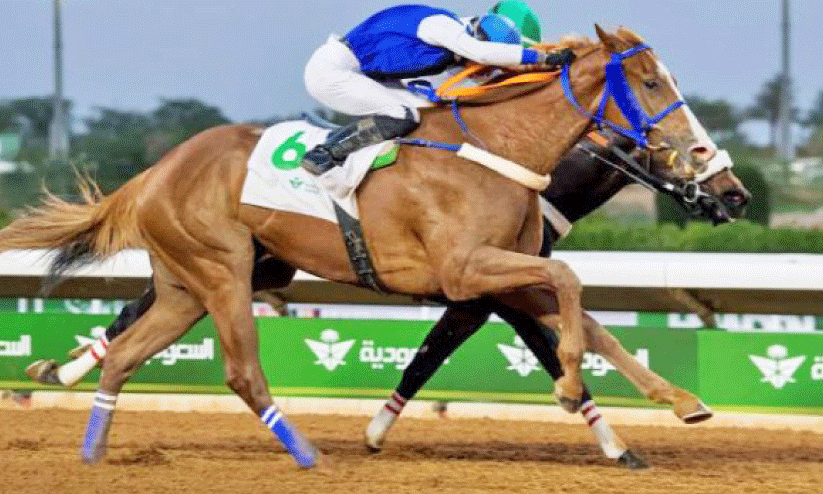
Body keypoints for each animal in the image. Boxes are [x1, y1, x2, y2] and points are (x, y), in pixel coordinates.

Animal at [0, 26, 719, 466]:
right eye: (651, 83)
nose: (707, 160)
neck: (497, 152)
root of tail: (156, 170)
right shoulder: (467, 273)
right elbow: (568, 285)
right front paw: (570, 388)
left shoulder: (510, 276)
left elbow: (592, 322)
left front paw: (680, 403)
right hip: (222, 271)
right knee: (234, 369)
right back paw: (303, 454)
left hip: (195, 283)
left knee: (129, 350)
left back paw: (91, 444)